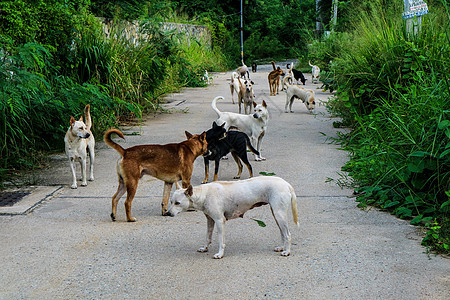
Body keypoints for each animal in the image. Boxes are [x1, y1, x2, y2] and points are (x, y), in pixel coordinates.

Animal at [165, 177, 298, 258]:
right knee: (283, 233)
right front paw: (205, 248)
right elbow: (208, 237)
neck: (204, 194)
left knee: (288, 234)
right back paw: (281, 248)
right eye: (171, 202)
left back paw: (287, 251)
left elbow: (221, 241)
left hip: (279, 214)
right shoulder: (210, 221)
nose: (167, 213)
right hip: (276, 214)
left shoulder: (220, 221)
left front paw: (220, 254)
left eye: (177, 203)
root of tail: (286, 184)